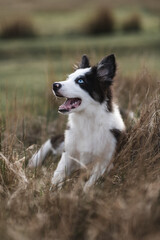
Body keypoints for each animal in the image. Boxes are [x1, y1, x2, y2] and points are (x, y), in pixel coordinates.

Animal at [29, 54, 125, 191]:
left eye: (80, 81)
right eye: (68, 78)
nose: (54, 85)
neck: (86, 119)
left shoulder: (106, 160)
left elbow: (91, 181)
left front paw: (84, 191)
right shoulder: (68, 153)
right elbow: (58, 174)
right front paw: (51, 190)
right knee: (54, 140)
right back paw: (35, 160)